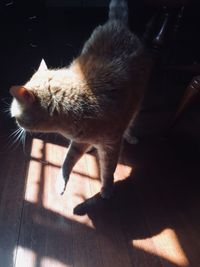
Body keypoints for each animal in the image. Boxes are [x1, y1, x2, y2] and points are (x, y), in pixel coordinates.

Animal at [9, 0, 150, 200]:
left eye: (15, 117)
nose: (17, 126)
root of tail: (117, 23)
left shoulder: (111, 146)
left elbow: (108, 169)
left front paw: (107, 189)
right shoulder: (79, 143)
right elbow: (68, 160)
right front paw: (62, 181)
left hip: (136, 103)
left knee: (131, 121)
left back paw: (128, 136)